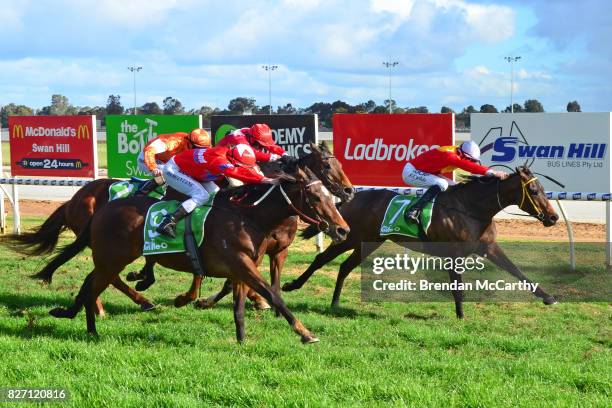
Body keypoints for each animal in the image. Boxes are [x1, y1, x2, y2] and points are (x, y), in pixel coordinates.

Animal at [282, 167, 560, 318]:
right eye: (533, 191)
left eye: (542, 189)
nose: (553, 217)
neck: (471, 209)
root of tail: (351, 199)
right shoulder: (453, 255)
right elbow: (457, 287)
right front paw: (461, 315)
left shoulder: (489, 248)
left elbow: (517, 271)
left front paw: (548, 297)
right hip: (351, 237)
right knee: (321, 259)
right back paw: (292, 285)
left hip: (369, 242)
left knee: (344, 268)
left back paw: (335, 303)